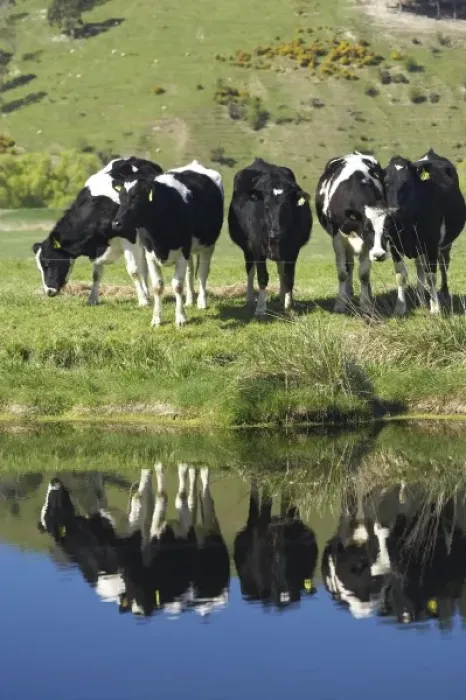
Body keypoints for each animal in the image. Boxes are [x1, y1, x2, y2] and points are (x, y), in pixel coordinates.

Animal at [32, 157, 162, 307]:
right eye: (39, 268)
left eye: (47, 263)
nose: (49, 291)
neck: (101, 206)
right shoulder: (96, 247)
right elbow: (96, 275)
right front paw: (92, 299)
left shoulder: (129, 239)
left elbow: (133, 271)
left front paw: (143, 301)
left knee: (143, 266)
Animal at [111, 160, 224, 327]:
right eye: (120, 197)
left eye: (136, 196)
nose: (116, 224)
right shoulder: (150, 254)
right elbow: (158, 287)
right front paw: (157, 319)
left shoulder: (182, 253)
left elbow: (177, 285)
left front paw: (181, 318)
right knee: (190, 272)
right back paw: (189, 300)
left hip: (208, 245)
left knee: (202, 273)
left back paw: (201, 302)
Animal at [228, 158, 312, 317]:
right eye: (266, 205)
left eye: (286, 205)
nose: (275, 233)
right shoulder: (257, 247)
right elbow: (262, 277)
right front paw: (260, 308)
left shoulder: (293, 250)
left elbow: (288, 277)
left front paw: (289, 306)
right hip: (248, 249)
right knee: (250, 270)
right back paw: (250, 300)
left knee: (280, 270)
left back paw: (281, 299)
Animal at [315, 151, 386, 314]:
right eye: (367, 228)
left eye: (387, 228)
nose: (379, 255)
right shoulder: (338, 238)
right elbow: (342, 273)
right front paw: (340, 304)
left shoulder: (367, 244)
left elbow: (364, 274)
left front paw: (366, 305)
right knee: (349, 266)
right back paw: (348, 294)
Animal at [368, 150, 466, 315]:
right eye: (386, 183)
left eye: (407, 183)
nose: (393, 210)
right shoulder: (394, 244)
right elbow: (401, 276)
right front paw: (400, 308)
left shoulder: (431, 244)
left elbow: (431, 276)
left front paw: (435, 308)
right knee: (420, 265)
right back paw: (421, 298)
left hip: (445, 244)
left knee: (443, 264)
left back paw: (443, 293)